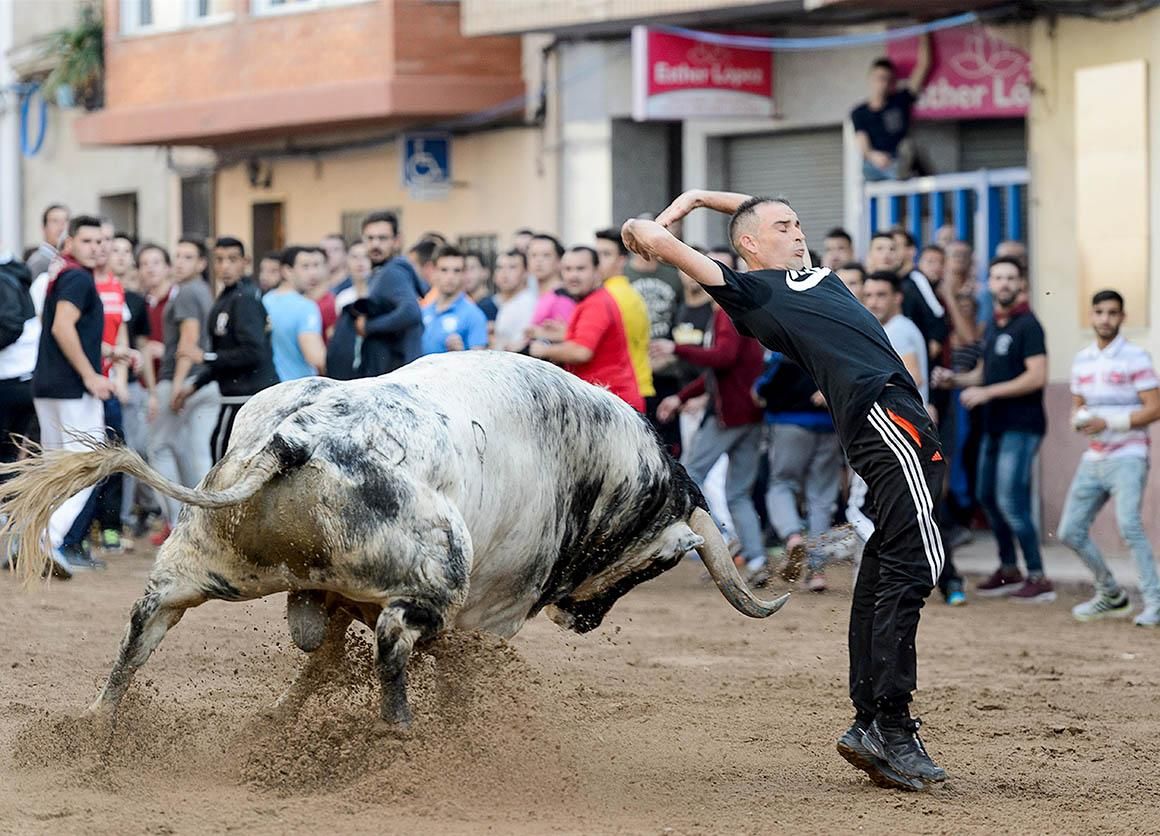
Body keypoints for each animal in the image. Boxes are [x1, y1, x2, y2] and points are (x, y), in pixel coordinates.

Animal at [2, 347, 788, 728]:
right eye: (653, 568)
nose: (585, 620)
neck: (596, 458)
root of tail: (294, 440)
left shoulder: (327, 598)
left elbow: (318, 663)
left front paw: (277, 717)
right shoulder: (489, 613)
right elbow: (457, 668)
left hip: (201, 561)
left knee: (143, 626)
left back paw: (96, 724)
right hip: (435, 579)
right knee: (394, 640)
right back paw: (401, 732)